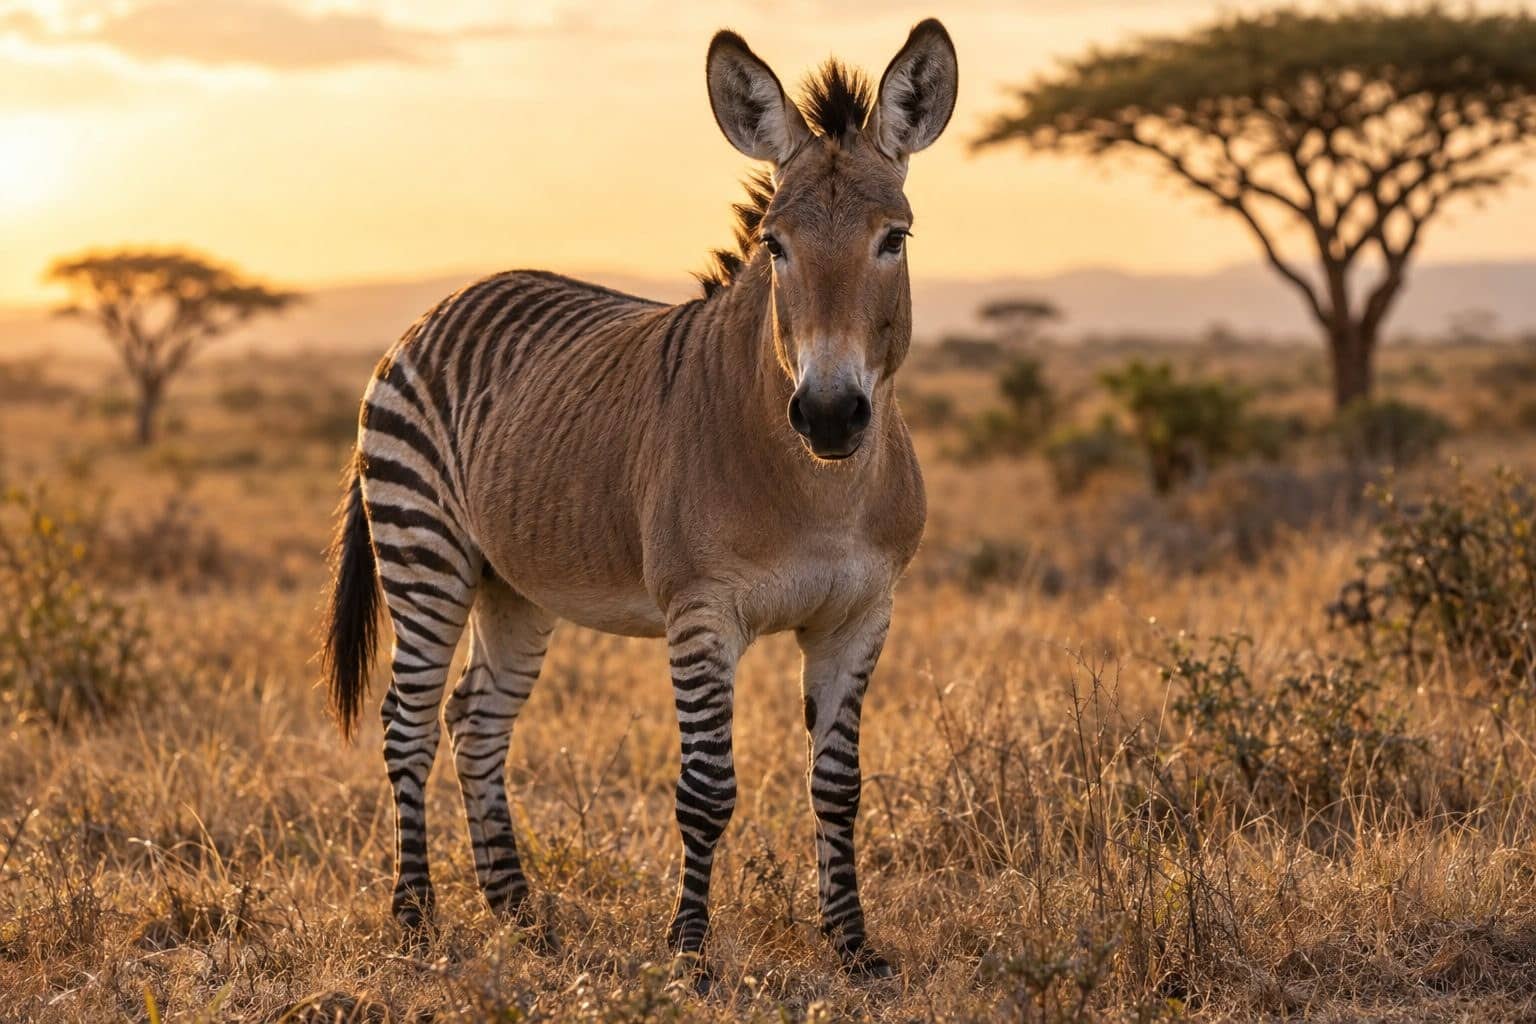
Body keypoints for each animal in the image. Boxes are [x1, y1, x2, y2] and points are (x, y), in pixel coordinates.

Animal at [321, 19, 957, 979]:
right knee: (410, 722)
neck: (823, 491)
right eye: (774, 246)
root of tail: (439, 308)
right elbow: (706, 789)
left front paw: (853, 948)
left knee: (476, 720)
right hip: (422, 548)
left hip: (515, 583)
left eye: (897, 239)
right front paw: (688, 952)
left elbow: (838, 787)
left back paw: (518, 913)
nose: (830, 413)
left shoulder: (862, 614)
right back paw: (417, 916)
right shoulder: (701, 611)